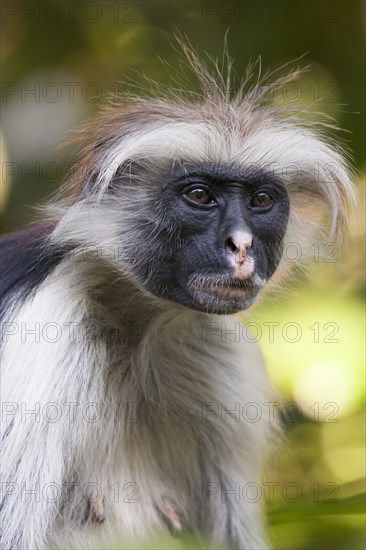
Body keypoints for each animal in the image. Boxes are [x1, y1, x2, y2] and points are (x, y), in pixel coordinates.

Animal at [0, 44, 354, 550]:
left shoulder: (222, 355)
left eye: (261, 201)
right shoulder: (41, 332)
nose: (241, 245)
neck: (135, 328)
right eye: (200, 195)